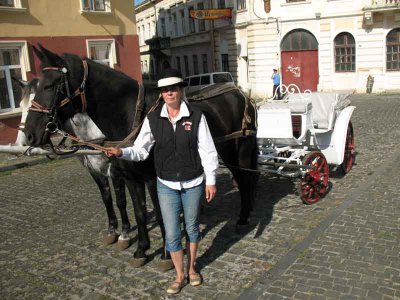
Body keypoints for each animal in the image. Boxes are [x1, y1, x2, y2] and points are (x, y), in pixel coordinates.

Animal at [23, 45, 258, 264]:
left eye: (51, 85)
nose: (29, 134)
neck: (132, 116)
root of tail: (239, 93)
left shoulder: (153, 178)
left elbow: (161, 213)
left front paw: (166, 255)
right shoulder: (129, 177)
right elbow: (140, 211)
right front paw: (141, 250)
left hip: (238, 152)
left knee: (244, 180)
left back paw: (243, 218)